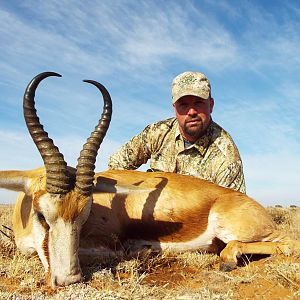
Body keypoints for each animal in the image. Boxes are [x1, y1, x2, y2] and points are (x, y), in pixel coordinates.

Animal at [0, 72, 298, 288]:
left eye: (85, 216)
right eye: (41, 214)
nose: (69, 279)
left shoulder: (110, 245)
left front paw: (142, 251)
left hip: (234, 228)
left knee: (286, 243)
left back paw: (227, 260)